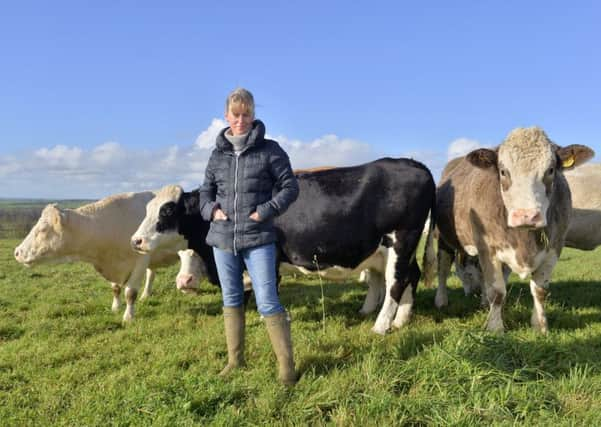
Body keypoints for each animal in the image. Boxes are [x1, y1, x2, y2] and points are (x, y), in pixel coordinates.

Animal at [15, 192, 184, 322]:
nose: (17, 252)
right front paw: (115, 308)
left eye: (43, 229)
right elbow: (115, 289)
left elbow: (130, 293)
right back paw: (146, 295)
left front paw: (128, 317)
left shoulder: (140, 261)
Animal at [131, 157, 434, 334]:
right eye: (147, 209)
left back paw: (381, 326)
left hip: (402, 239)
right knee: (410, 275)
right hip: (394, 249)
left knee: (396, 282)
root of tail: (412, 163)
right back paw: (398, 318)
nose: (135, 240)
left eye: (168, 211)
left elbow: (265, 290)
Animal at [424, 127, 592, 334]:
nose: (526, 215)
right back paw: (441, 300)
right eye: (503, 171)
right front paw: (495, 328)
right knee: (443, 269)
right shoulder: (487, 247)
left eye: (551, 170)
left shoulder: (555, 247)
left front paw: (540, 326)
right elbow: (497, 291)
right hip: (444, 238)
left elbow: (539, 291)